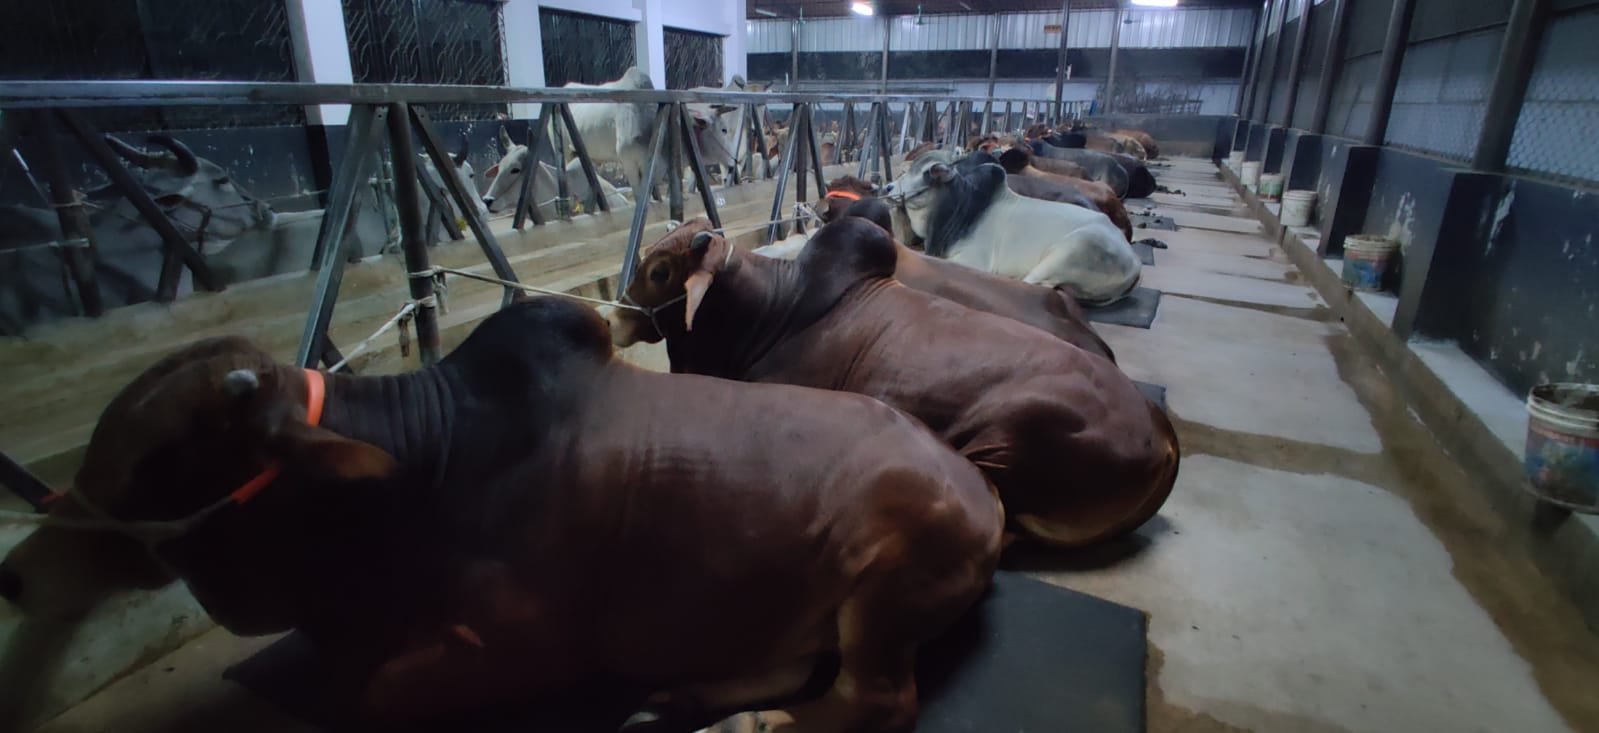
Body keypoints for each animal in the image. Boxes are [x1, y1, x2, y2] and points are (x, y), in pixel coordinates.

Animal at [0, 296, 1003, 732]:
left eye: (161, 464)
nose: (16, 573)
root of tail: (976, 484)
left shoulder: (531, 644)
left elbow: (374, 696)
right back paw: (684, 696)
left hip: (881, 590)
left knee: (873, 699)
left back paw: (752, 724)